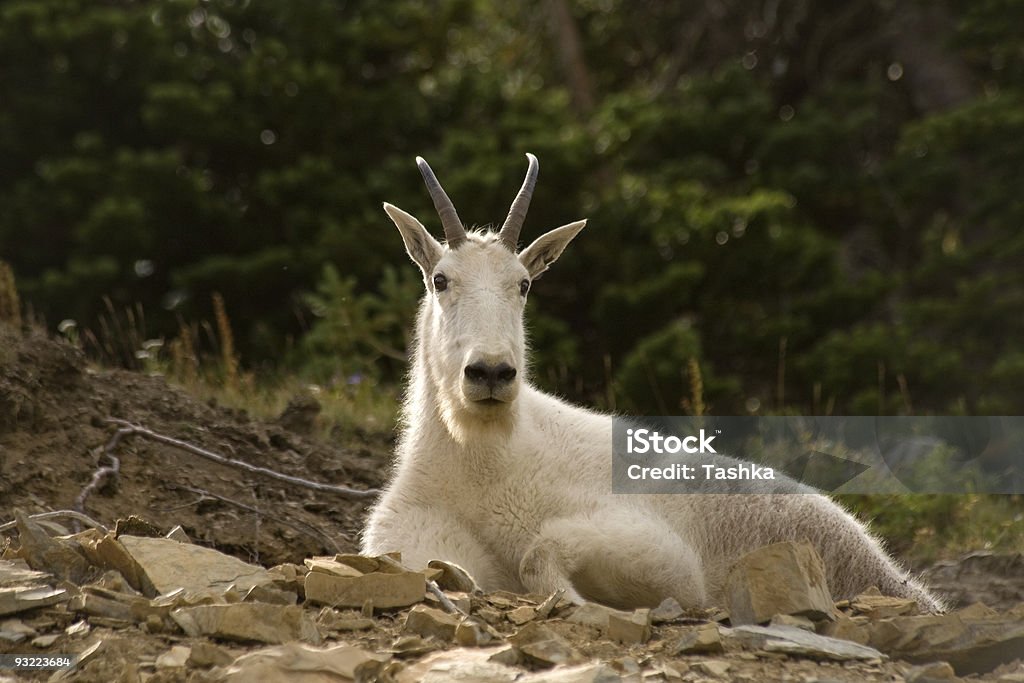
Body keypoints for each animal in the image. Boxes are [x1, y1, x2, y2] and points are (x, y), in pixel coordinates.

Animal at [360, 156, 942, 614]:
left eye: (523, 285)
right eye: (440, 279)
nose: (491, 373)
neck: (482, 459)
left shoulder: (661, 550)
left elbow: (537, 555)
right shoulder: (404, 537)